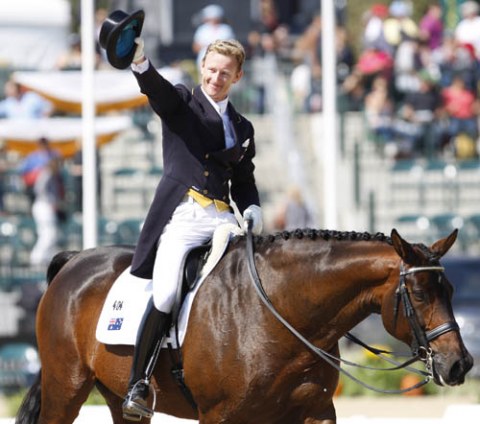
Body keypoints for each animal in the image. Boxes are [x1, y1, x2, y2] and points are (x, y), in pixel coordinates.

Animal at [15, 229, 472, 424]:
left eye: (450, 289)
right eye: (419, 294)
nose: (460, 364)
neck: (282, 314)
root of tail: (75, 260)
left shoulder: (315, 411)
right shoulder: (220, 417)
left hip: (117, 399)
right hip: (66, 387)